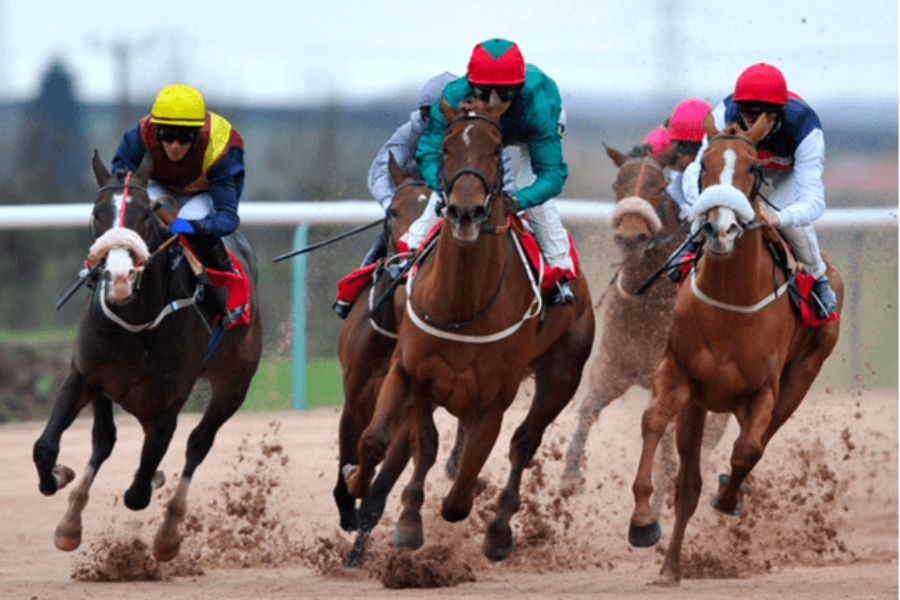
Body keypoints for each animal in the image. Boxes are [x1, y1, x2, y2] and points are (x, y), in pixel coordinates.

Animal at [32, 151, 262, 562]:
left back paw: (168, 532)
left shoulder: (166, 407)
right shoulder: (84, 377)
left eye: (145, 215)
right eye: (97, 213)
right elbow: (45, 447)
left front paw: (155, 486)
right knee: (104, 439)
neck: (136, 323)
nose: (120, 275)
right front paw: (60, 477)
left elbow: (138, 492)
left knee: (198, 443)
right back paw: (72, 520)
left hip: (234, 384)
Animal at [343, 92, 595, 563]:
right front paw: (375, 497)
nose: (465, 210)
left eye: (496, 150)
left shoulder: (493, 398)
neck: (463, 304)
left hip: (562, 376)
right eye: (444, 148)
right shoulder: (412, 373)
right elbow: (385, 442)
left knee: (523, 443)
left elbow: (458, 497)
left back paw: (498, 529)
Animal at [559, 145, 729, 504]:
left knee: (710, 436)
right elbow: (588, 408)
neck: (648, 298)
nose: (631, 237)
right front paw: (570, 476)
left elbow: (668, 440)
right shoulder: (613, 365)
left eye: (659, 187)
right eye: (617, 184)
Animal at [626, 113, 843, 585]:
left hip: (801, 379)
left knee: (758, 442)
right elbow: (653, 421)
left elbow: (748, 450)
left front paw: (728, 498)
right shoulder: (677, 375)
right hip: (698, 406)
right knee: (688, 486)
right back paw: (671, 567)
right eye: (704, 164)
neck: (731, 302)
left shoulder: (763, 392)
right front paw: (643, 521)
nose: (720, 228)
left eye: (752, 167)